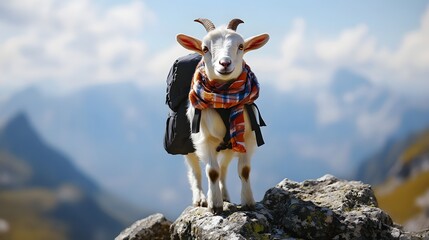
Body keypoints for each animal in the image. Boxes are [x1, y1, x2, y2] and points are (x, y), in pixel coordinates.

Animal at [175, 18, 268, 214]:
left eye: (241, 46)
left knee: (224, 168)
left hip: (228, 146)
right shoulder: (205, 139)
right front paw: (215, 205)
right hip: (188, 145)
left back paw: (224, 195)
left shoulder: (246, 137)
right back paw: (200, 199)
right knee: (195, 170)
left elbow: (244, 170)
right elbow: (212, 172)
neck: (225, 99)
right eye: (205, 48)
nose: (224, 64)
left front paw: (249, 202)